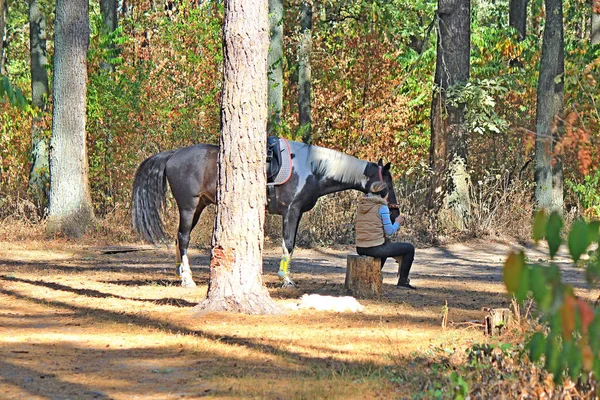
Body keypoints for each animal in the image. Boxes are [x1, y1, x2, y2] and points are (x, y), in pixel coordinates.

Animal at [131, 138, 398, 288]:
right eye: (389, 184)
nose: (394, 214)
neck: (313, 169)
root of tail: (173, 155)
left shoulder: (296, 214)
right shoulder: (291, 212)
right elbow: (288, 244)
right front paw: (285, 279)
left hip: (198, 206)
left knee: (179, 239)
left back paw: (181, 275)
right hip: (188, 206)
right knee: (184, 238)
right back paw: (187, 279)